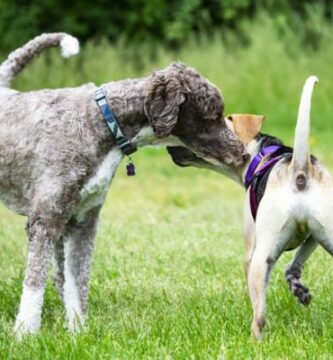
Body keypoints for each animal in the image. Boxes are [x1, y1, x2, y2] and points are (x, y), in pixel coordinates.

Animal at [0, 32, 246, 336]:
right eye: (213, 115)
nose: (242, 153)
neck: (102, 122)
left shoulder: (83, 220)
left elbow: (77, 282)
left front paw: (78, 331)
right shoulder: (45, 218)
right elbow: (34, 285)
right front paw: (25, 334)